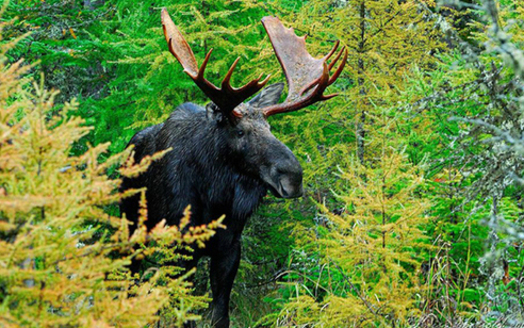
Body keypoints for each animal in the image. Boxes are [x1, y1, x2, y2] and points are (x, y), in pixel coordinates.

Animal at [121, 8, 346, 328]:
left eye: (269, 127)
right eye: (240, 132)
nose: (293, 176)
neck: (214, 198)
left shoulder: (229, 247)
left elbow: (221, 314)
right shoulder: (181, 246)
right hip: (130, 229)